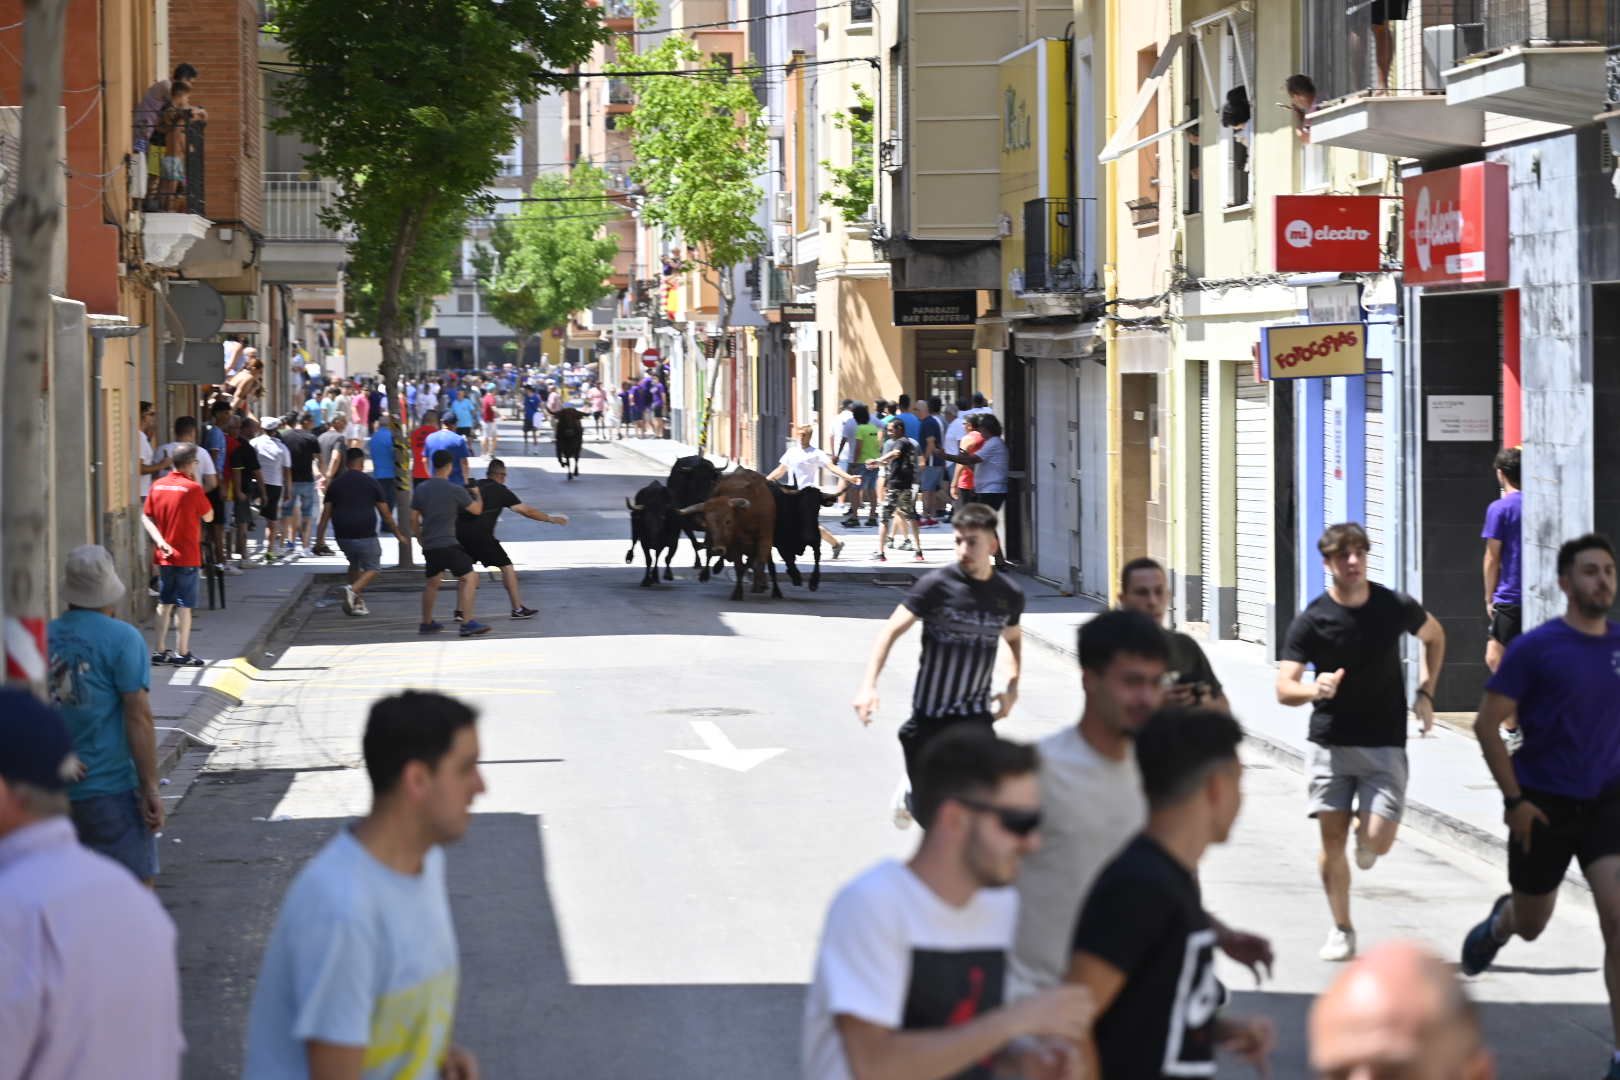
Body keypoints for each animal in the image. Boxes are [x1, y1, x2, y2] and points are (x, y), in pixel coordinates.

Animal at [677, 469, 777, 605]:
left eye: (728, 521)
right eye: (708, 523)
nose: (718, 549)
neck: (746, 517)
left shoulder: (765, 539)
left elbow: (759, 562)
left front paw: (760, 584)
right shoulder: (734, 545)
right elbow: (739, 568)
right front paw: (737, 593)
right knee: (709, 555)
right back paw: (708, 572)